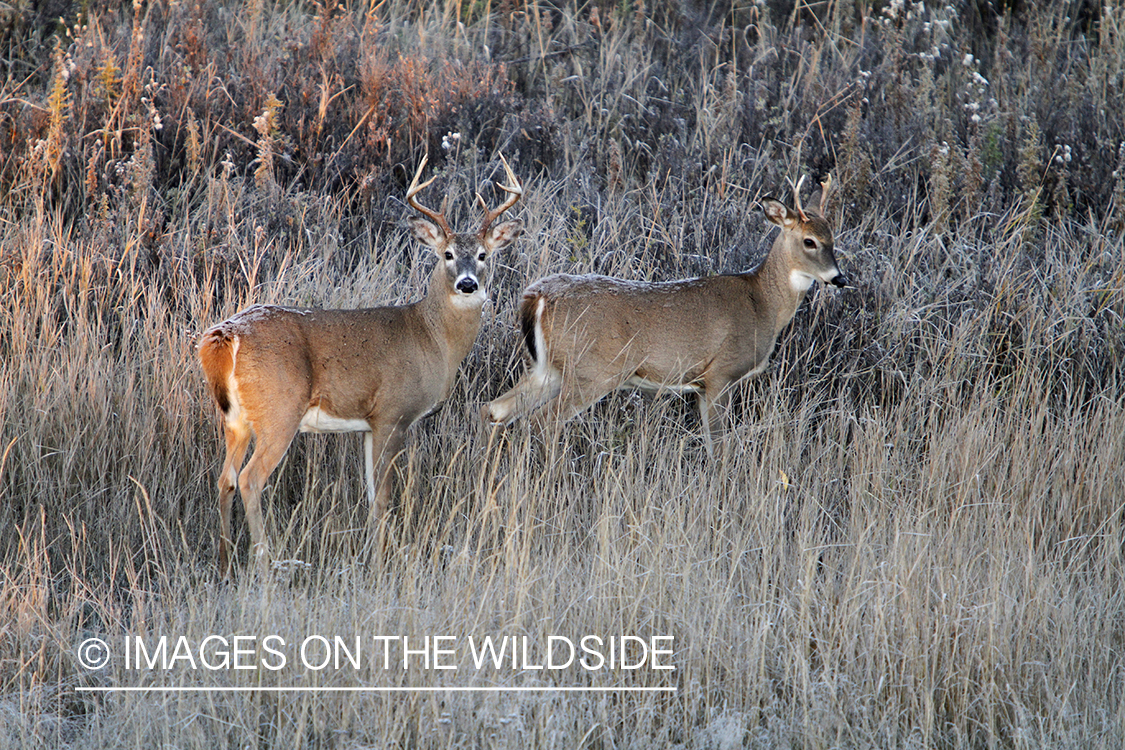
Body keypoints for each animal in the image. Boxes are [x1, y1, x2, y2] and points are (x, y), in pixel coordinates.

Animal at [481, 177, 846, 458]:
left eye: (833, 240)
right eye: (809, 241)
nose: (839, 278)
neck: (761, 302)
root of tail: (537, 297)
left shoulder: (702, 384)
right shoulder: (721, 373)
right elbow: (719, 447)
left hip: (549, 368)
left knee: (497, 409)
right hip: (593, 371)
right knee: (543, 421)